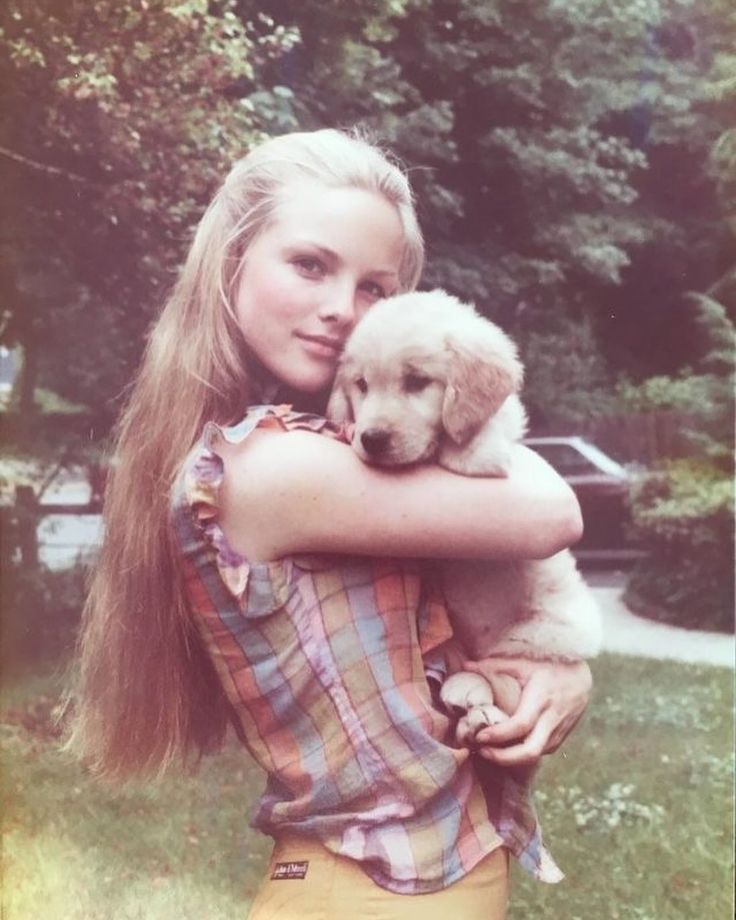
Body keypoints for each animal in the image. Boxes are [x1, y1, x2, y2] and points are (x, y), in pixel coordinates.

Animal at [330, 292, 600, 744]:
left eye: (417, 382)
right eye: (362, 385)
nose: (372, 438)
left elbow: (470, 439)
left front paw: (470, 444)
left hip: (539, 634)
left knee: (500, 676)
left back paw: (473, 699)